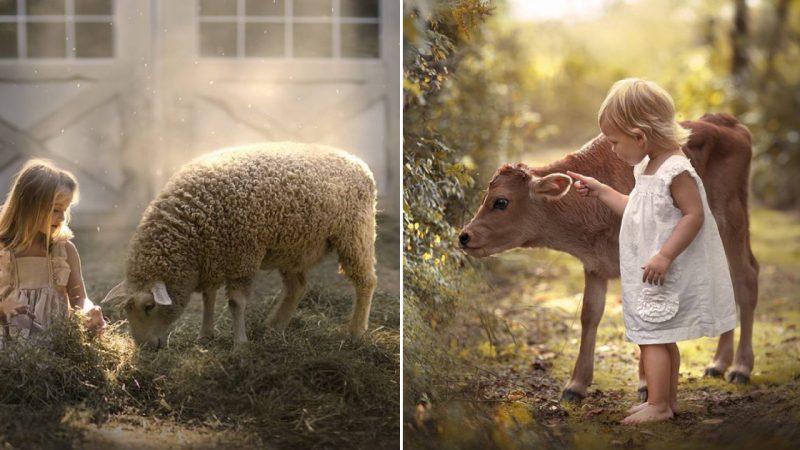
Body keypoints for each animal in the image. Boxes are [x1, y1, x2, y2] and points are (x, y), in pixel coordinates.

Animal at [103, 143, 378, 348]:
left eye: (149, 306)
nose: (144, 348)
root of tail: (359, 163)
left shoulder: (242, 257)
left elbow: (236, 303)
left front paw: (239, 345)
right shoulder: (212, 258)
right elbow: (208, 298)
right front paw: (205, 336)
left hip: (355, 234)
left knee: (365, 281)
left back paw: (355, 332)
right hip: (293, 248)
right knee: (297, 287)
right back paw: (274, 327)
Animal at [460, 113, 760, 400]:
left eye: (501, 201)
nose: (464, 235)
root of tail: (726, 121)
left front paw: (646, 385)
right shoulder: (594, 264)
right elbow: (590, 314)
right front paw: (576, 384)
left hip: (731, 220)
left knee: (746, 278)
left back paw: (740, 367)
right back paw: (718, 363)